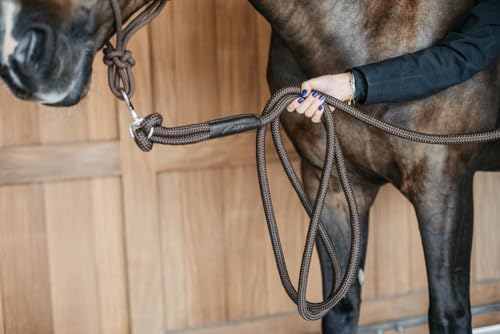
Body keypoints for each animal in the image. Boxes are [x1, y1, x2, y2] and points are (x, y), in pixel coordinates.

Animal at [0, 0, 498, 332]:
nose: (20, 57)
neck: (369, 32)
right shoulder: (334, 188)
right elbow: (339, 305)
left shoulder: (443, 188)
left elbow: (449, 311)